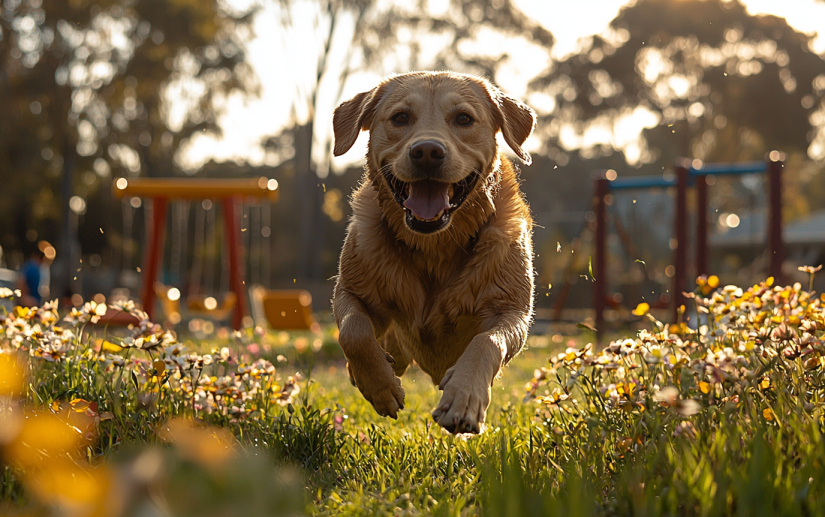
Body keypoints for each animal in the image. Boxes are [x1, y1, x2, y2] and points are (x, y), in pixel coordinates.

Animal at [332, 69, 536, 432]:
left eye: (464, 118)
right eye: (400, 117)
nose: (427, 151)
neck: (434, 245)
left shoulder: (511, 310)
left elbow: (487, 342)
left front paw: (464, 399)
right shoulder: (349, 290)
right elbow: (354, 332)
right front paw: (379, 386)